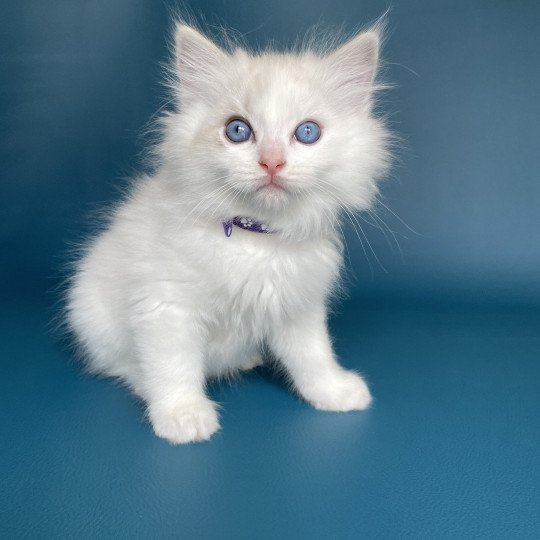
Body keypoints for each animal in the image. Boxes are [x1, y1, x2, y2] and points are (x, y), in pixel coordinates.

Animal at [66, 21, 388, 442]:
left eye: (307, 132)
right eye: (238, 131)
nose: (272, 162)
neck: (256, 236)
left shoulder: (298, 306)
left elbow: (313, 355)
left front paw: (334, 391)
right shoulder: (167, 307)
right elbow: (173, 366)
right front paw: (182, 416)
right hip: (94, 316)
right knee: (122, 364)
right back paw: (144, 384)